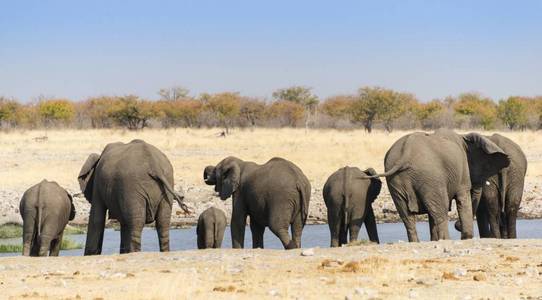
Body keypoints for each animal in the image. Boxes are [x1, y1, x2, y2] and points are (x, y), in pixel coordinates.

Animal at [364, 130, 512, 243]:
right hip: (430, 175)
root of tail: (405, 154)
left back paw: (417, 242)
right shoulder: (462, 173)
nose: (457, 225)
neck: (463, 137)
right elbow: (462, 199)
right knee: (440, 210)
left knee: (408, 216)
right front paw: (467, 238)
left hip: (397, 180)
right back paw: (446, 240)